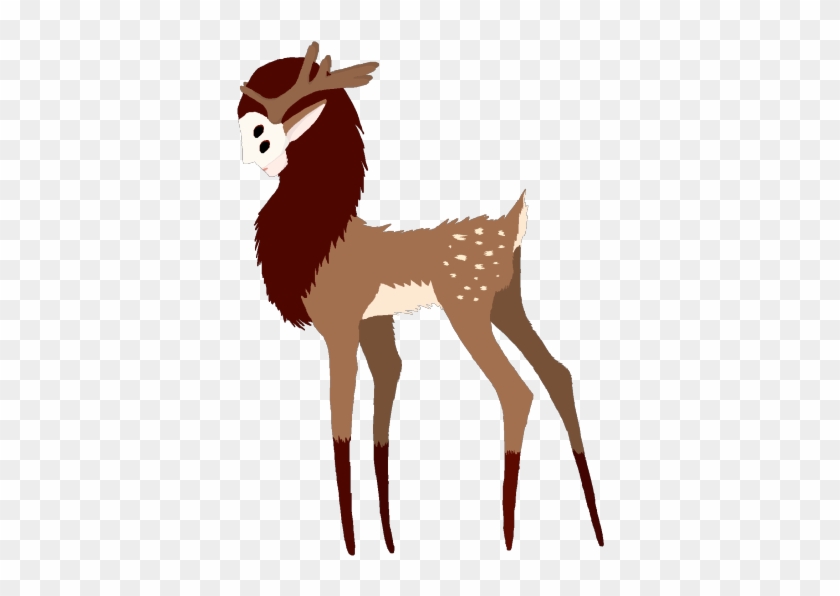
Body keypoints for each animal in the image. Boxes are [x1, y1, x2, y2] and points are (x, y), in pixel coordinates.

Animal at [236, 42, 604, 555]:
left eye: (260, 135)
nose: (251, 161)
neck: (323, 241)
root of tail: (511, 225)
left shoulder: (340, 326)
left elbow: (341, 429)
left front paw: (351, 545)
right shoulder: (376, 324)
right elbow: (381, 421)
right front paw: (389, 542)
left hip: (467, 310)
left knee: (517, 391)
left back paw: (508, 537)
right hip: (506, 306)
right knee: (558, 374)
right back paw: (595, 529)